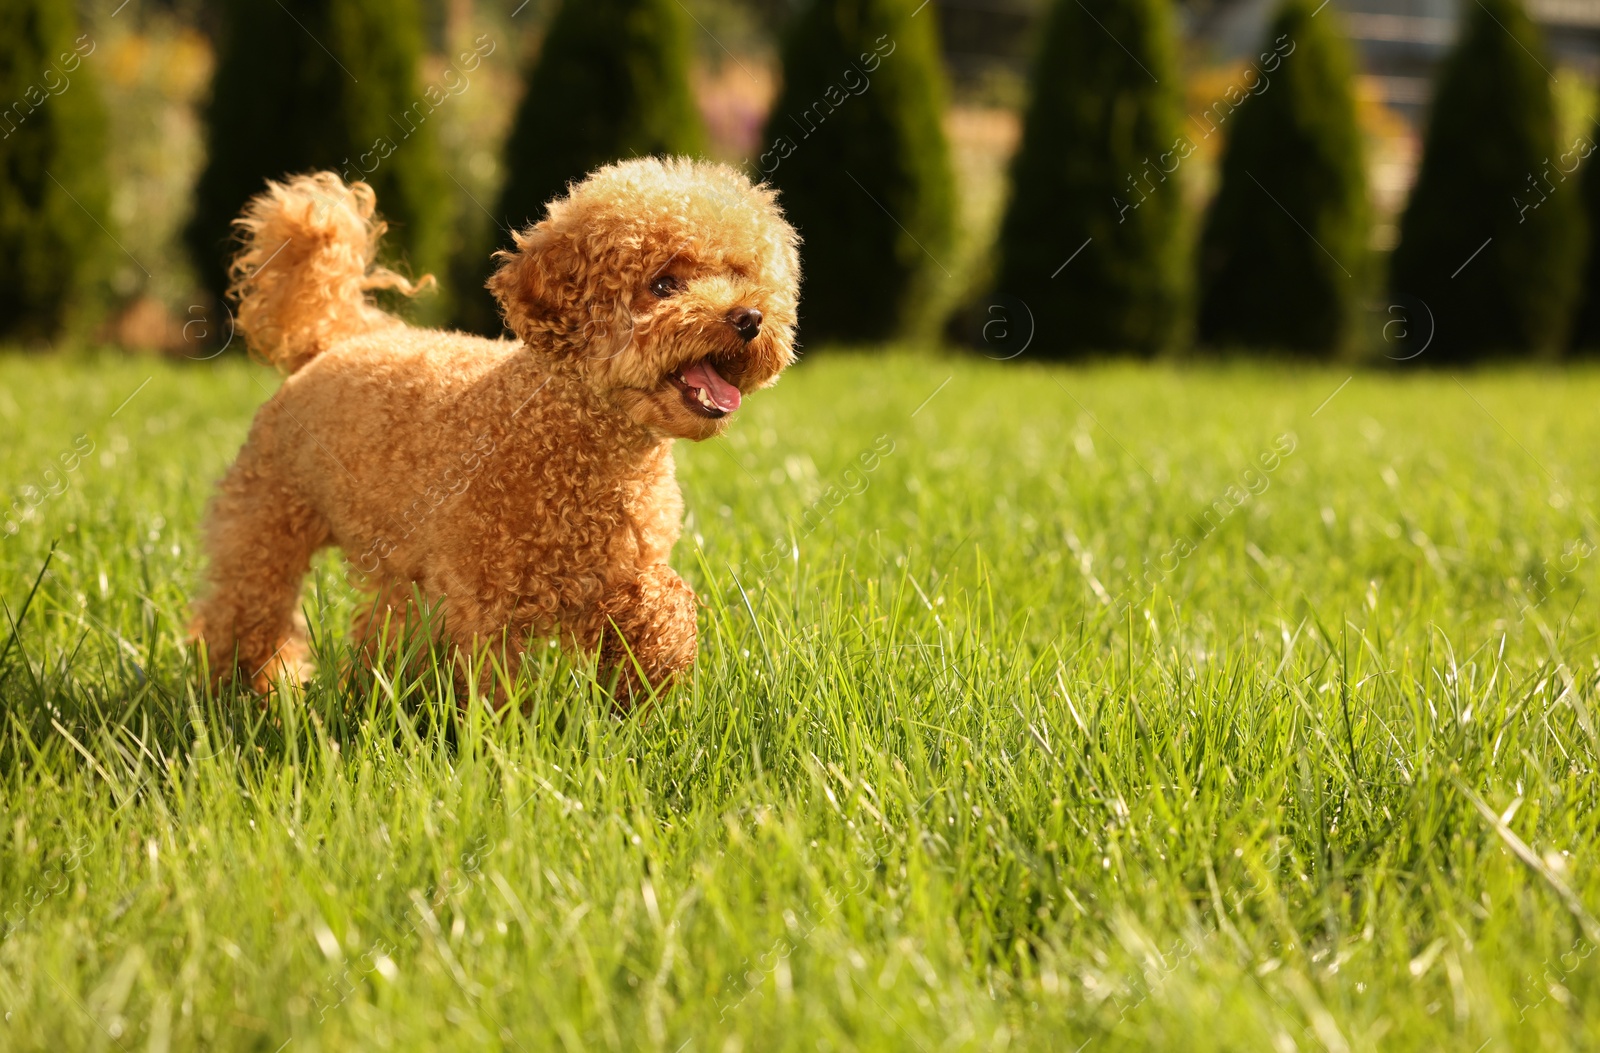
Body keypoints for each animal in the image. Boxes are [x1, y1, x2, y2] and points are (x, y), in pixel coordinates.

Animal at [190, 156, 800, 704]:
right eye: (664, 283)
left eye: (739, 274)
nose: (749, 319)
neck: (571, 441)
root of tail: (333, 340)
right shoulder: (483, 600)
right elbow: (491, 687)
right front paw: (502, 740)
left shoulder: (615, 573)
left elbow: (665, 604)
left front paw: (644, 683)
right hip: (266, 524)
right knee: (247, 615)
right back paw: (245, 694)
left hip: (399, 564)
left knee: (383, 627)